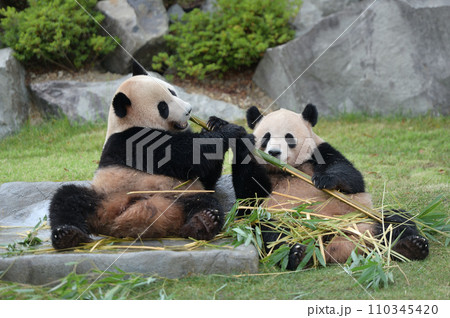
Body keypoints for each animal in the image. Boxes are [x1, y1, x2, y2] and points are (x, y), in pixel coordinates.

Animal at [50, 63, 246, 250]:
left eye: (172, 91)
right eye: (163, 107)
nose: (189, 111)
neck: (129, 122)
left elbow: (206, 177)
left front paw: (215, 123)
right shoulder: (130, 141)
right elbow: (185, 154)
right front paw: (230, 130)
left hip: (181, 195)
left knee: (205, 202)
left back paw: (203, 222)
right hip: (106, 196)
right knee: (67, 198)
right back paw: (67, 235)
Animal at [230, 105, 430, 270]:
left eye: (289, 137)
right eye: (266, 137)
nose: (273, 152)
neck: (286, 170)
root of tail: (339, 248)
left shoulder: (320, 151)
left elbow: (352, 177)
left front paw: (325, 179)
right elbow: (248, 198)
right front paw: (240, 141)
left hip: (362, 219)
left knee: (396, 222)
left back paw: (411, 246)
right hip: (282, 222)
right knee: (274, 234)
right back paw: (297, 254)